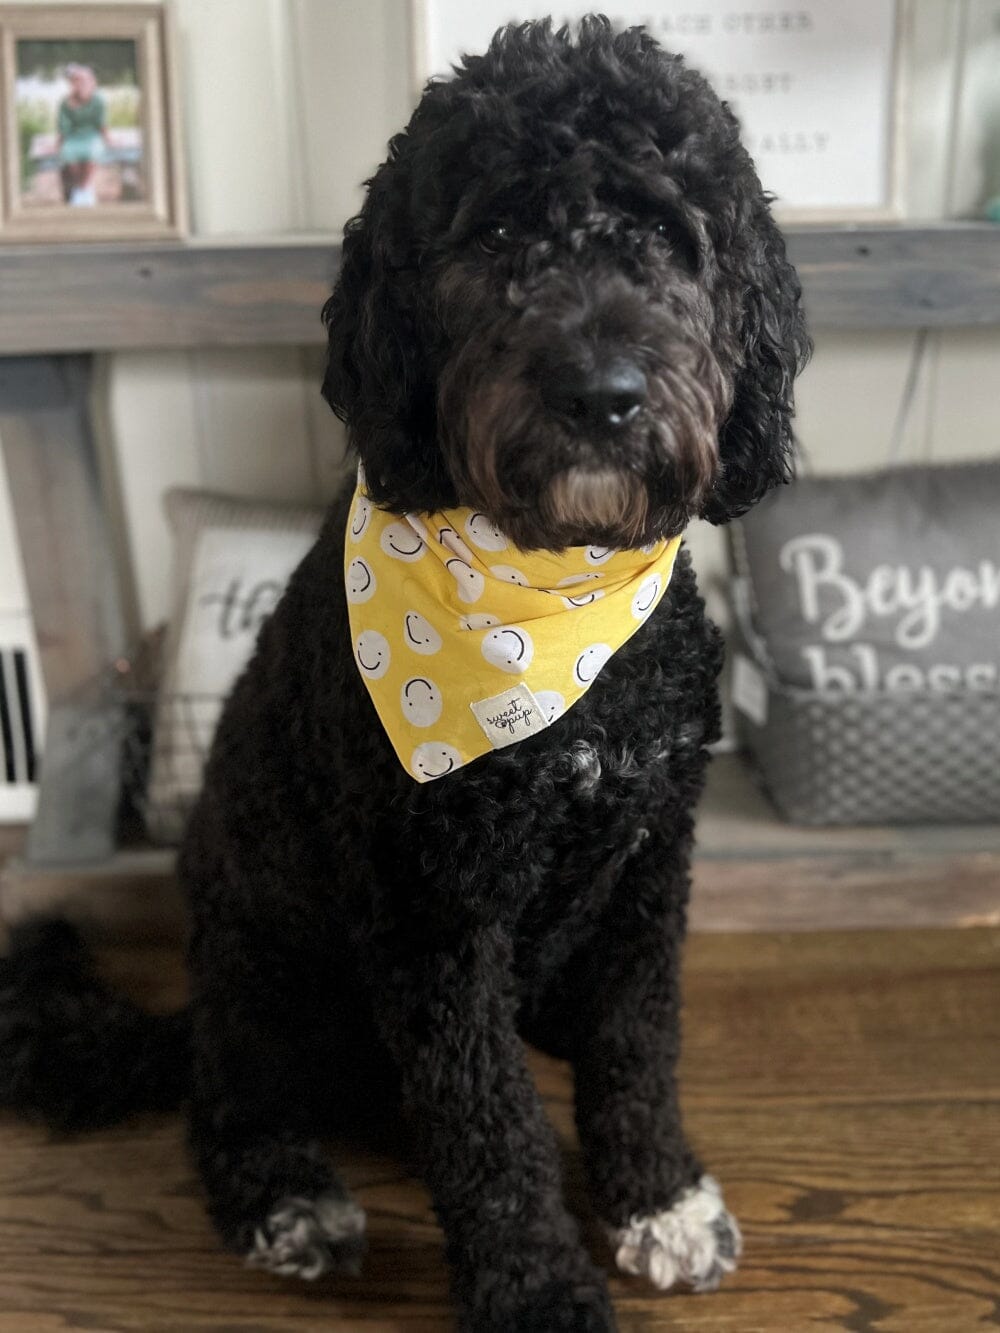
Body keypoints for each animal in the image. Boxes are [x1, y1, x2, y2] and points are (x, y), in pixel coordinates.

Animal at [0, 20, 810, 1333]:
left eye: (665, 233)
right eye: (495, 234)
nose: (601, 395)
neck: (557, 612)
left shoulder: (650, 867)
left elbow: (637, 1043)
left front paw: (657, 1197)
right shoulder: (432, 911)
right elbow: (485, 1126)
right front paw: (535, 1289)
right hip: (260, 961)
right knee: (228, 1097)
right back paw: (286, 1194)